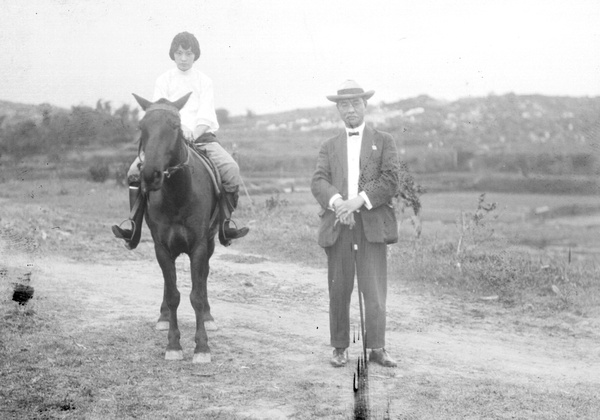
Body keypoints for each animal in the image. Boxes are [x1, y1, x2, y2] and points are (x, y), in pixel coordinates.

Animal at [132, 93, 221, 362]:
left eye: (175, 126)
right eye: (141, 126)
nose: (150, 175)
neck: (178, 196)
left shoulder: (199, 246)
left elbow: (197, 295)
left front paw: (202, 347)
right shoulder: (162, 246)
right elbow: (173, 295)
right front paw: (173, 345)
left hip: (210, 242)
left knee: (203, 278)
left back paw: (208, 317)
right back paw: (162, 318)